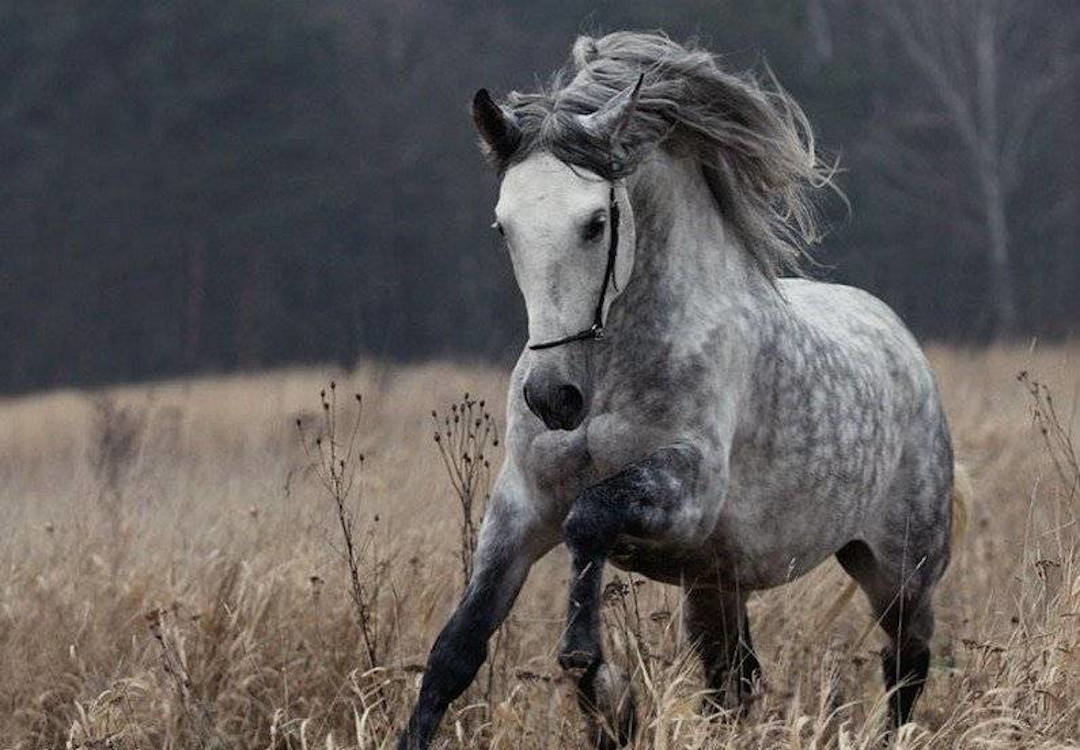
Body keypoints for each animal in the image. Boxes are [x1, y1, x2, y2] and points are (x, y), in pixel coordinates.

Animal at [399, 32, 972, 747]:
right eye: (504, 226)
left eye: (595, 222)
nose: (553, 398)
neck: (608, 380)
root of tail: (907, 349)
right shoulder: (521, 509)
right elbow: (454, 654)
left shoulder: (686, 493)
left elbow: (589, 521)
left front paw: (600, 682)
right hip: (716, 584)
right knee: (734, 679)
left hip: (900, 568)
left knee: (905, 666)